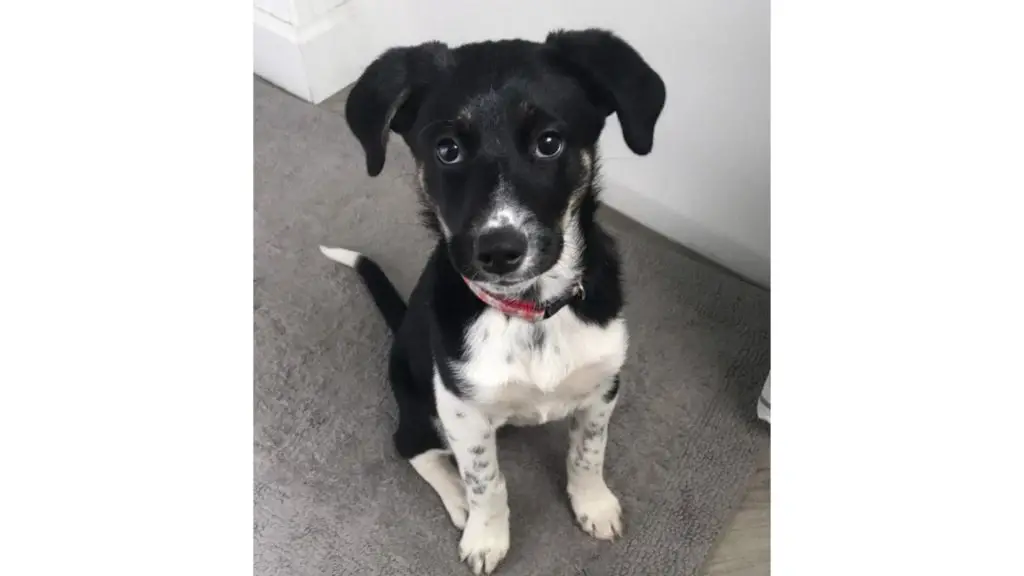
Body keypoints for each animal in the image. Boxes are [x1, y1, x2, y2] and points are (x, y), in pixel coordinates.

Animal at [323, 29, 667, 569]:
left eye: (549, 143)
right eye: (447, 150)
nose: (500, 250)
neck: (531, 313)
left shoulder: (604, 385)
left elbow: (588, 452)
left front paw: (593, 504)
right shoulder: (462, 411)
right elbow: (488, 481)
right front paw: (486, 537)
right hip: (422, 405)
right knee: (413, 449)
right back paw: (458, 501)